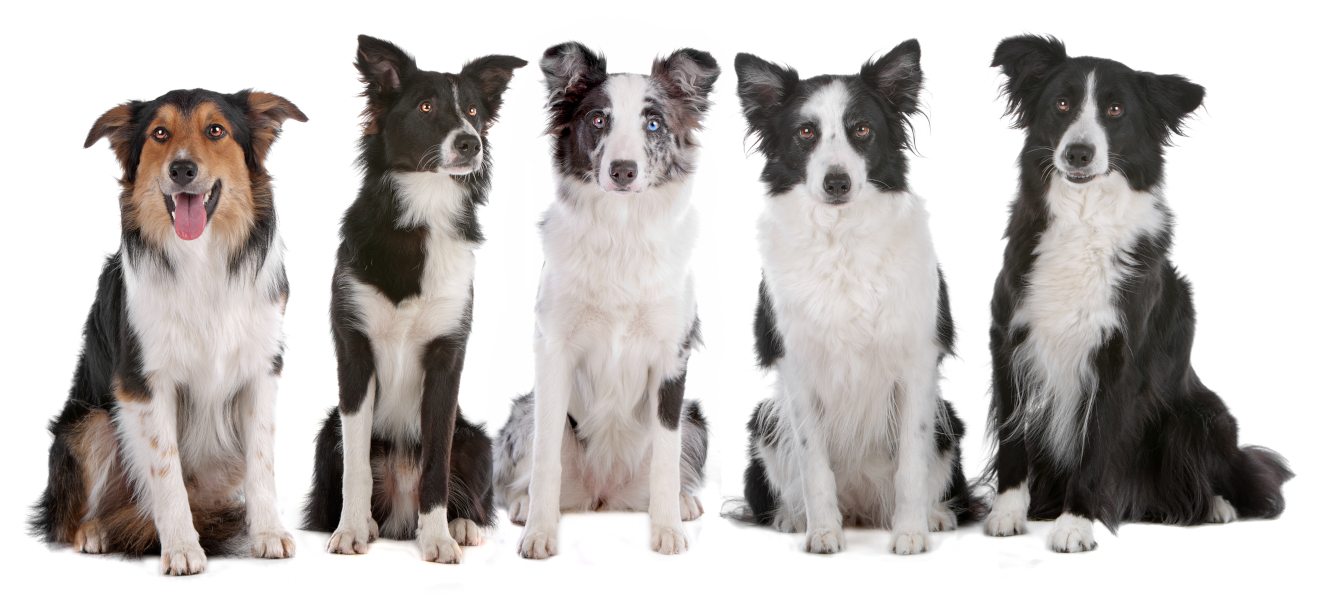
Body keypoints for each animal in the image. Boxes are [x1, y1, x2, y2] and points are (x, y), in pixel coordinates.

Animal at [31, 87, 305, 570]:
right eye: (160, 133)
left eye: (216, 130)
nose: (182, 169)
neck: (202, 257)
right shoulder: (144, 381)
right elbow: (166, 472)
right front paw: (181, 548)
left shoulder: (261, 370)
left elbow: (262, 462)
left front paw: (269, 532)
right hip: (90, 423)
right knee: (74, 520)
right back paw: (97, 531)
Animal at [302, 36, 528, 562]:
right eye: (426, 107)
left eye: (473, 110)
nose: (471, 142)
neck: (422, 209)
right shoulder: (355, 351)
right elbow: (357, 465)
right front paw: (350, 530)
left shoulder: (447, 357)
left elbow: (436, 463)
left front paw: (438, 537)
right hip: (325, 435)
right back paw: (367, 523)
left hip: (477, 440)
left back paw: (460, 525)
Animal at [493, 40, 721, 557]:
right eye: (598, 120)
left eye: (653, 124)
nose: (622, 170)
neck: (622, 232)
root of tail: (604, 495)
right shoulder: (553, 351)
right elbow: (546, 460)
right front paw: (539, 532)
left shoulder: (673, 358)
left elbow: (665, 457)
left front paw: (667, 530)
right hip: (524, 411)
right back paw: (523, 504)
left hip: (694, 417)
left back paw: (682, 502)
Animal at [732, 43, 981, 557]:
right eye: (806, 132)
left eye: (862, 129)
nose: (837, 182)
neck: (841, 238)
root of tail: (863, 507)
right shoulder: (797, 367)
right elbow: (814, 466)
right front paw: (823, 533)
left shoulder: (917, 363)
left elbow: (911, 463)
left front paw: (911, 533)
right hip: (764, 420)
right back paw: (792, 518)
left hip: (948, 420)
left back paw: (937, 515)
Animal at [981, 35, 1289, 552]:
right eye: (1061, 104)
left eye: (1116, 110)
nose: (1079, 153)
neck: (1084, 219)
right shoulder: (1009, 341)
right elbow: (1012, 442)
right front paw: (1007, 514)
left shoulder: (1116, 359)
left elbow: (1094, 448)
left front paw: (1075, 524)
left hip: (1203, 417)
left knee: (1231, 475)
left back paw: (1216, 505)